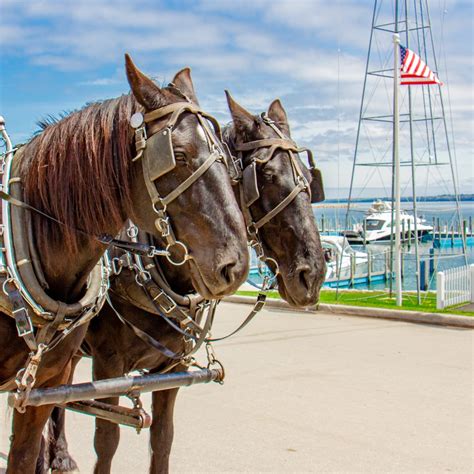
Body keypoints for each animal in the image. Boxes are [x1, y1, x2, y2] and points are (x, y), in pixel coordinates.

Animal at [1, 56, 248, 474]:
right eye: (179, 155)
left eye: (228, 161)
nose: (238, 265)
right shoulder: (108, 363)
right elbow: (107, 439)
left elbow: (161, 440)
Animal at [42, 90, 326, 472]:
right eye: (265, 174)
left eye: (310, 180)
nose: (314, 273)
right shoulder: (107, 364)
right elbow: (107, 440)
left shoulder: (172, 371)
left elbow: (163, 440)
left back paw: (58, 452)